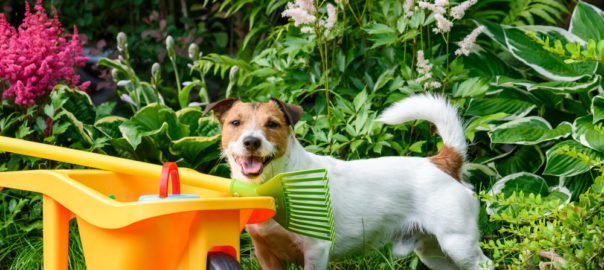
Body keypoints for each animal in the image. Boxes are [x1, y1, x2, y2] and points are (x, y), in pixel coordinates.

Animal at [205, 94, 494, 268]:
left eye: (272, 124)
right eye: (235, 123)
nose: (251, 141)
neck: (274, 184)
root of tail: (443, 162)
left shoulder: (316, 251)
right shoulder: (266, 254)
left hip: (458, 243)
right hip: (433, 253)